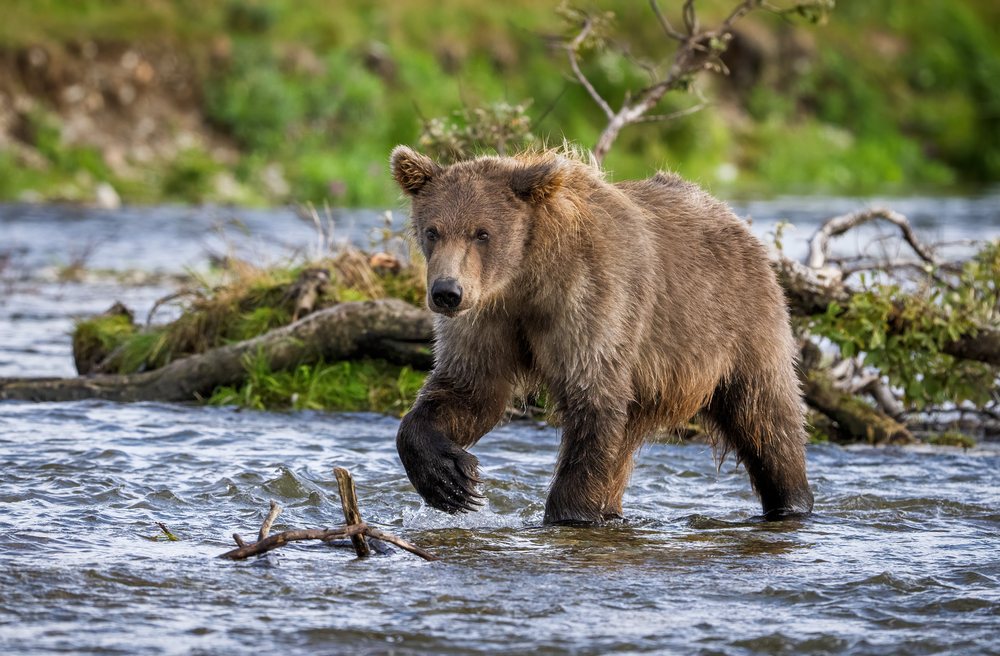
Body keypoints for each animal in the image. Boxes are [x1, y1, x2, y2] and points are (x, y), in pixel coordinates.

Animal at [390, 145, 814, 524]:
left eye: (482, 233)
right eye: (433, 231)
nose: (447, 292)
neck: (527, 278)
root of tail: (738, 222)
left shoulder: (593, 300)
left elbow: (592, 401)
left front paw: (566, 514)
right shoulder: (489, 318)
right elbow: (470, 390)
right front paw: (450, 479)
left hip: (738, 326)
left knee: (766, 417)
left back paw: (792, 500)